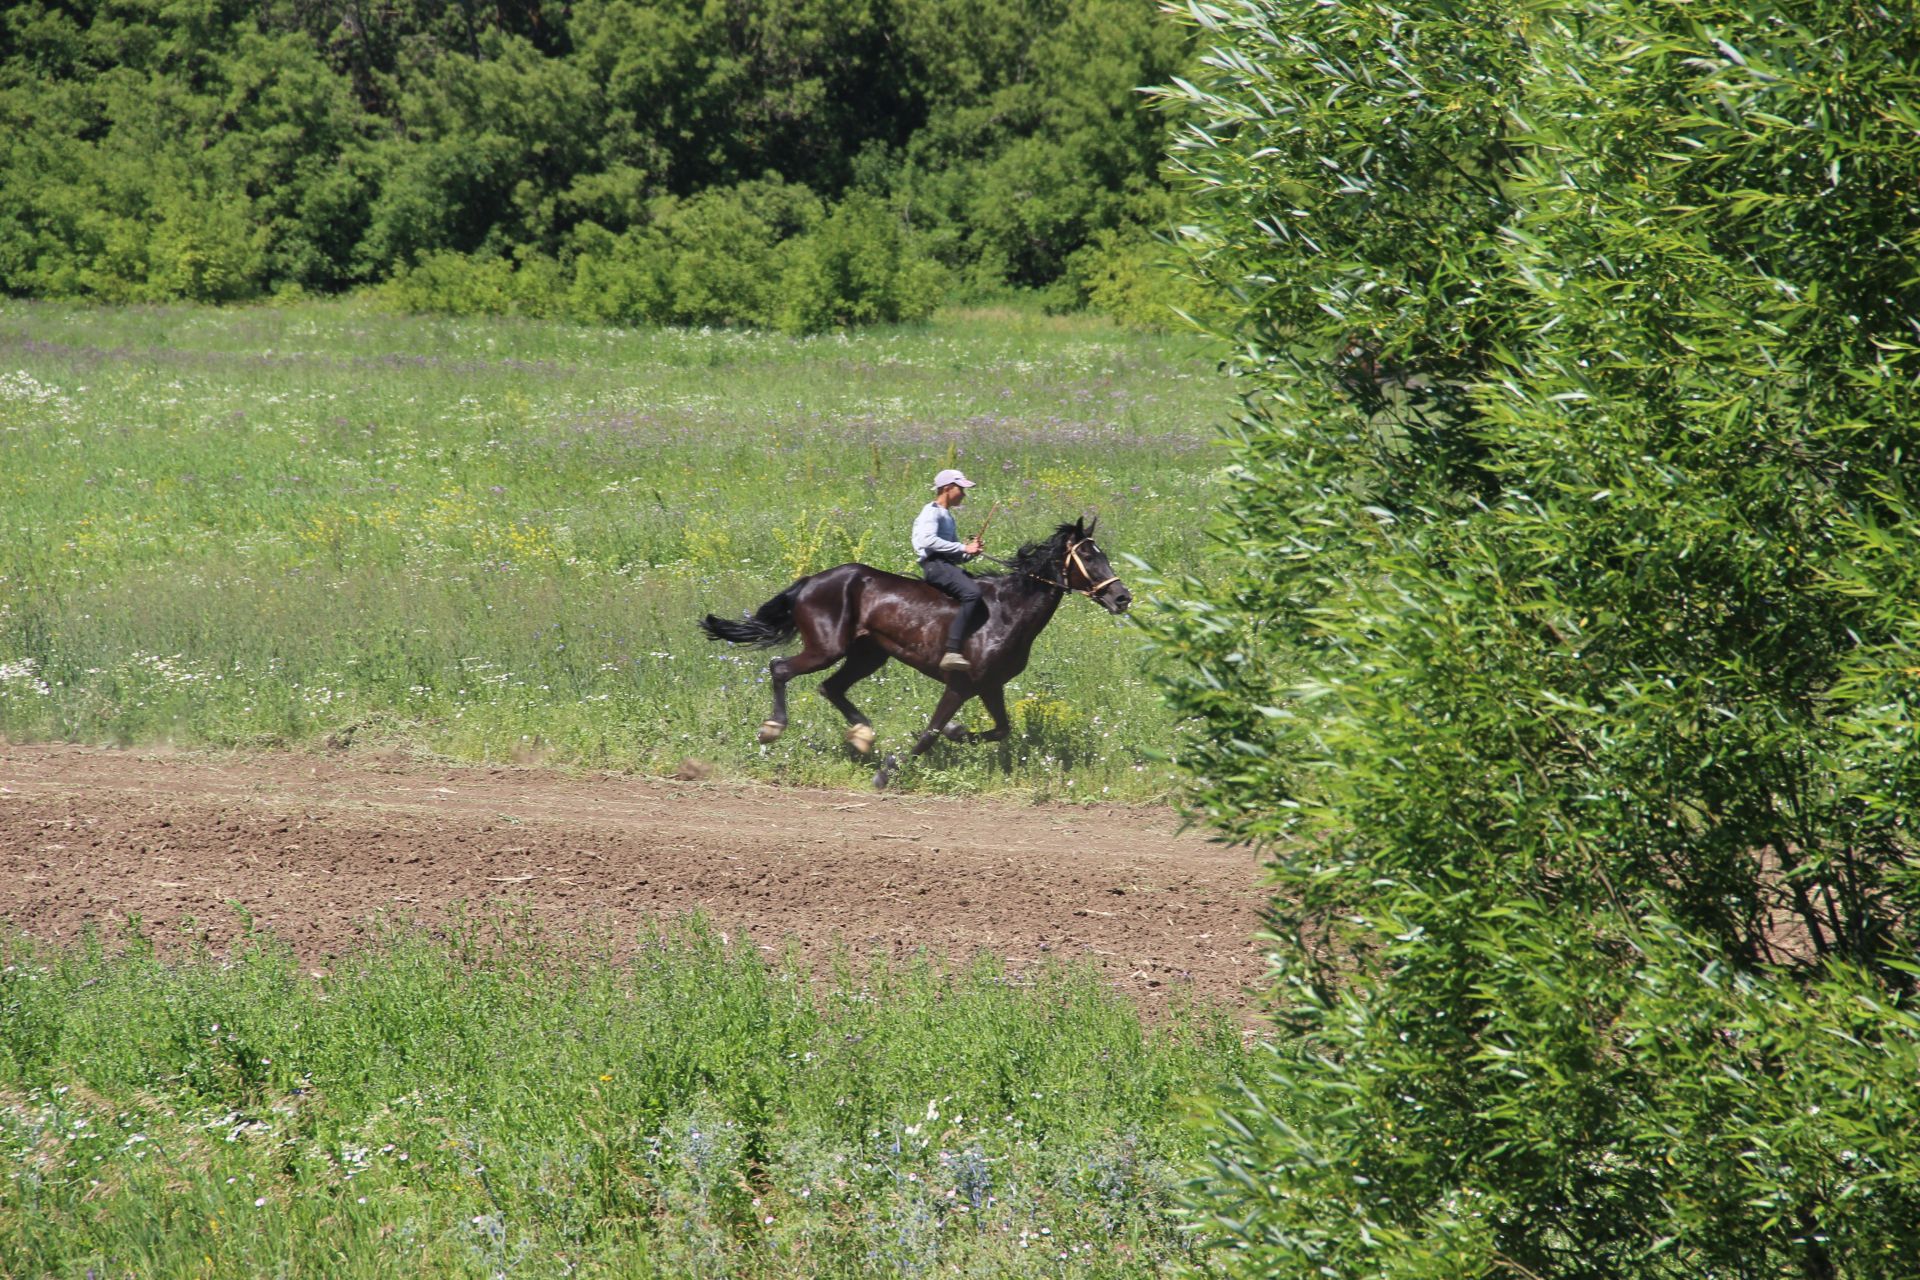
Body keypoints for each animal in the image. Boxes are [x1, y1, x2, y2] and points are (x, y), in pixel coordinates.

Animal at [702, 514, 1121, 786]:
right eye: (1089, 556)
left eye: (1103, 555)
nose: (1123, 597)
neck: (1008, 610)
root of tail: (809, 582)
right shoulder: (960, 684)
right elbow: (930, 734)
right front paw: (889, 770)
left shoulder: (990, 686)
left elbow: (1000, 729)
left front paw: (955, 731)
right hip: (827, 648)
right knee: (781, 668)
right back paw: (772, 728)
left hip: (869, 655)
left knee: (830, 687)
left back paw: (861, 735)